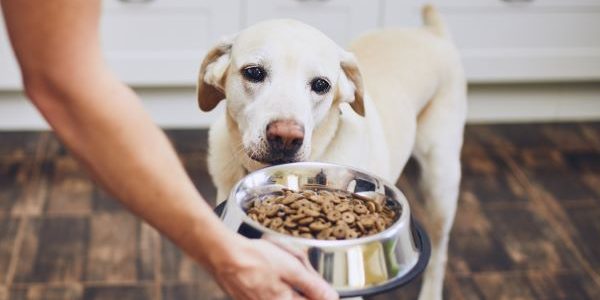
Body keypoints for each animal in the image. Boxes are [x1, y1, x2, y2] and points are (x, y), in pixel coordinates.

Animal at [198, 5, 468, 300]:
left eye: (321, 85)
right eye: (254, 73)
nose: (286, 137)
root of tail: (432, 32)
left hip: (440, 183)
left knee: (440, 252)